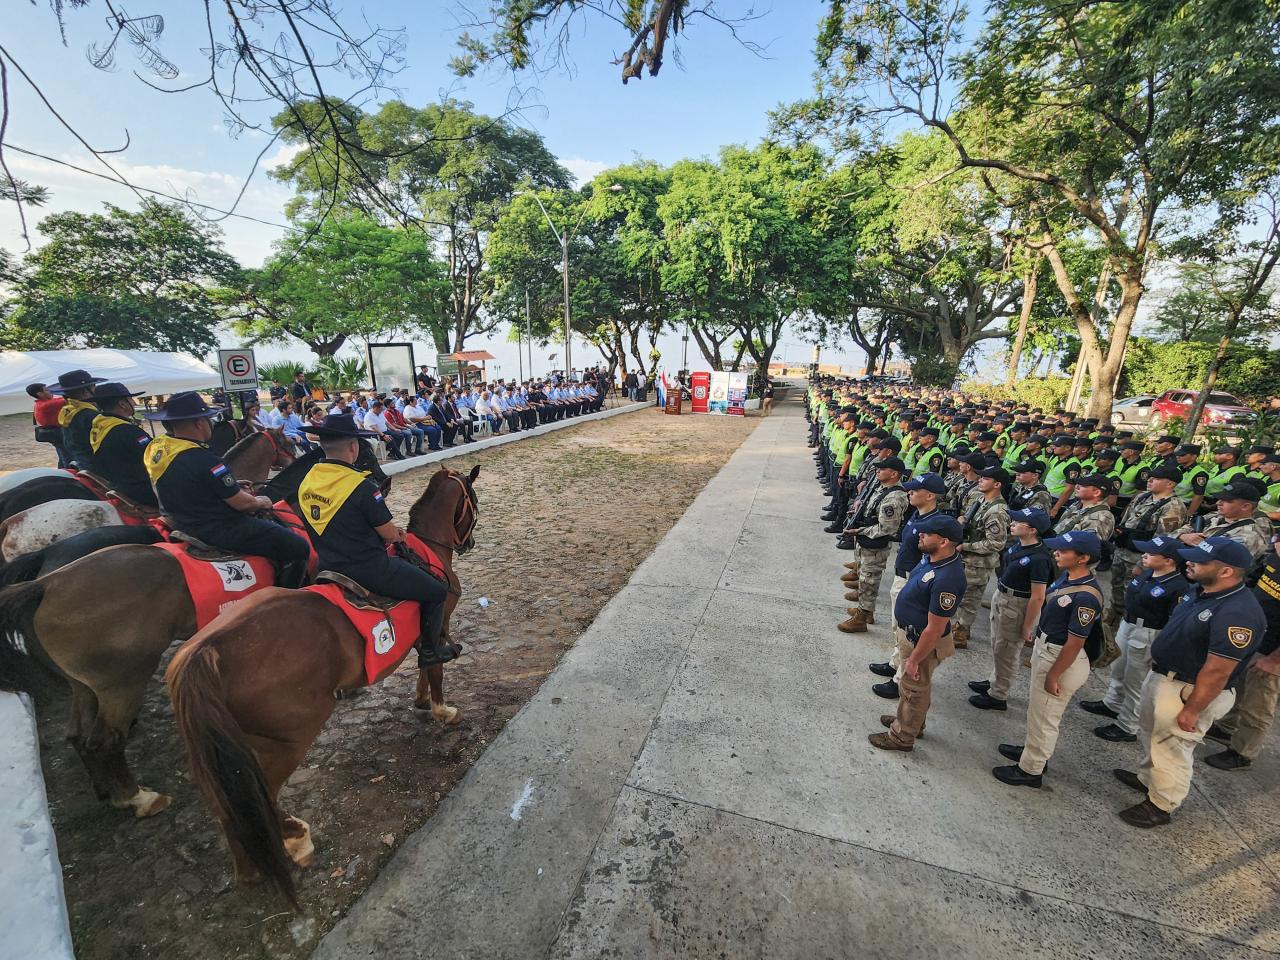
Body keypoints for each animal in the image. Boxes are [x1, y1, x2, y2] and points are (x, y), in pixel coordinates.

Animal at [162, 465, 478, 911]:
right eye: (473, 500)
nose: (469, 542)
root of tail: (205, 652)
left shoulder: (425, 635)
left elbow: (424, 665)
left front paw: (420, 701)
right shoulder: (440, 618)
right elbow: (434, 667)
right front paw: (441, 710)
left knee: (229, 807)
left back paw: (248, 871)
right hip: (284, 740)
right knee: (259, 797)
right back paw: (297, 839)